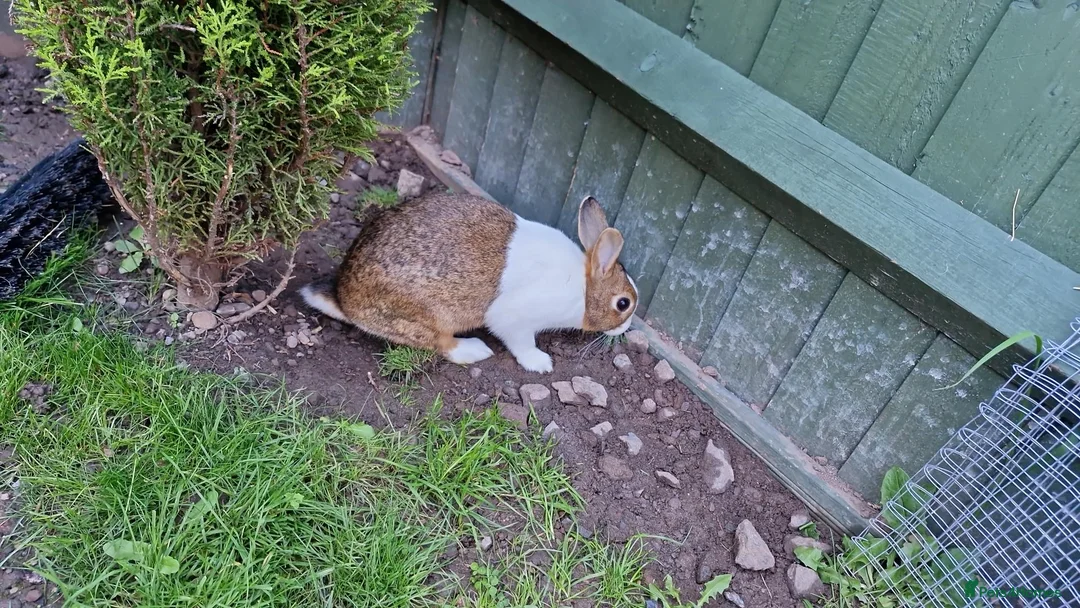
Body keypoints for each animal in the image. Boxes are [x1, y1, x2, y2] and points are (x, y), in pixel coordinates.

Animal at [299, 192, 638, 373]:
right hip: (427, 316)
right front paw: (540, 363)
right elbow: (521, 342)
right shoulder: (515, 319)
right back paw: (474, 350)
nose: (625, 329)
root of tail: (345, 299)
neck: (584, 287)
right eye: (623, 304)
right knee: (440, 344)